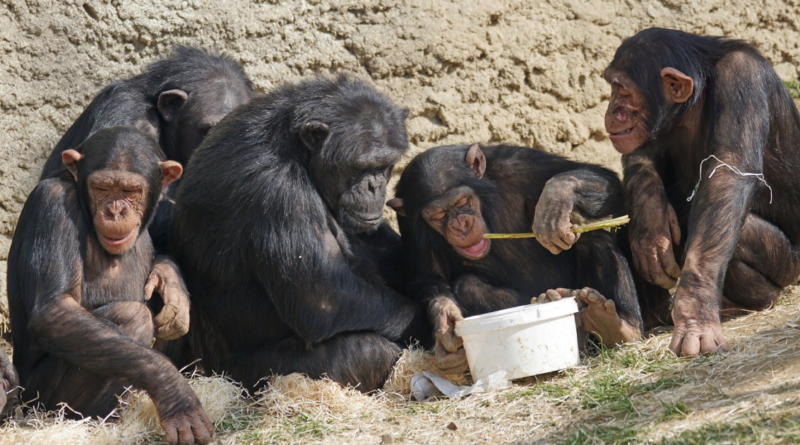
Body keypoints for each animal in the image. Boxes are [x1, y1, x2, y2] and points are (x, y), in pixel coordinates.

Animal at [7, 126, 212, 442]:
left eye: (130, 191)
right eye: (102, 188)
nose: (115, 210)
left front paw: (171, 285)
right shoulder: (51, 204)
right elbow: (55, 310)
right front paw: (174, 392)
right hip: (38, 398)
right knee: (133, 316)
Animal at [172, 73, 428, 392]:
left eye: (385, 165)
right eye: (359, 166)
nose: (375, 185)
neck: (298, 153)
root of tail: (203, 369)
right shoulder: (279, 192)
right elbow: (324, 295)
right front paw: (423, 321)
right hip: (246, 375)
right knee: (367, 351)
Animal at [390, 144, 648, 372]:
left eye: (462, 202)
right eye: (438, 216)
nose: (460, 224)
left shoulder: (518, 164)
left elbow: (605, 180)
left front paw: (556, 199)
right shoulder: (408, 222)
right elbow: (429, 277)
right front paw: (445, 323)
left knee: (592, 236)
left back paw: (619, 324)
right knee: (468, 284)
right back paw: (553, 303)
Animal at [604, 27, 800, 356]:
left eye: (622, 90)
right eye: (612, 87)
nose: (612, 110)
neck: (694, 102)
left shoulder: (742, 78)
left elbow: (728, 174)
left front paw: (694, 315)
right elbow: (642, 153)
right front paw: (650, 223)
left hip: (791, 267)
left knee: (737, 233)